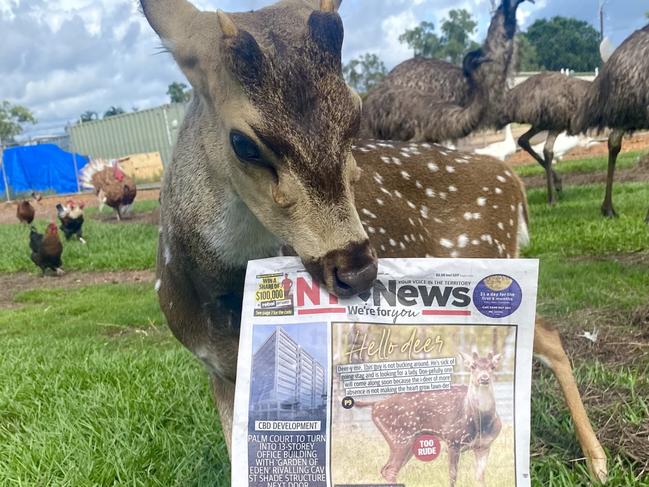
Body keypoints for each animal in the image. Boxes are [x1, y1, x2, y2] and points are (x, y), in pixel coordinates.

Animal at [354, 352, 502, 486]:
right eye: (473, 366)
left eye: (493, 366)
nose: (484, 378)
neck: (481, 423)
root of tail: (376, 404)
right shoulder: (452, 440)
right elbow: (452, 476)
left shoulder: (484, 445)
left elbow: (480, 478)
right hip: (400, 437)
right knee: (390, 469)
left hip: (408, 441)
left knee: (386, 469)